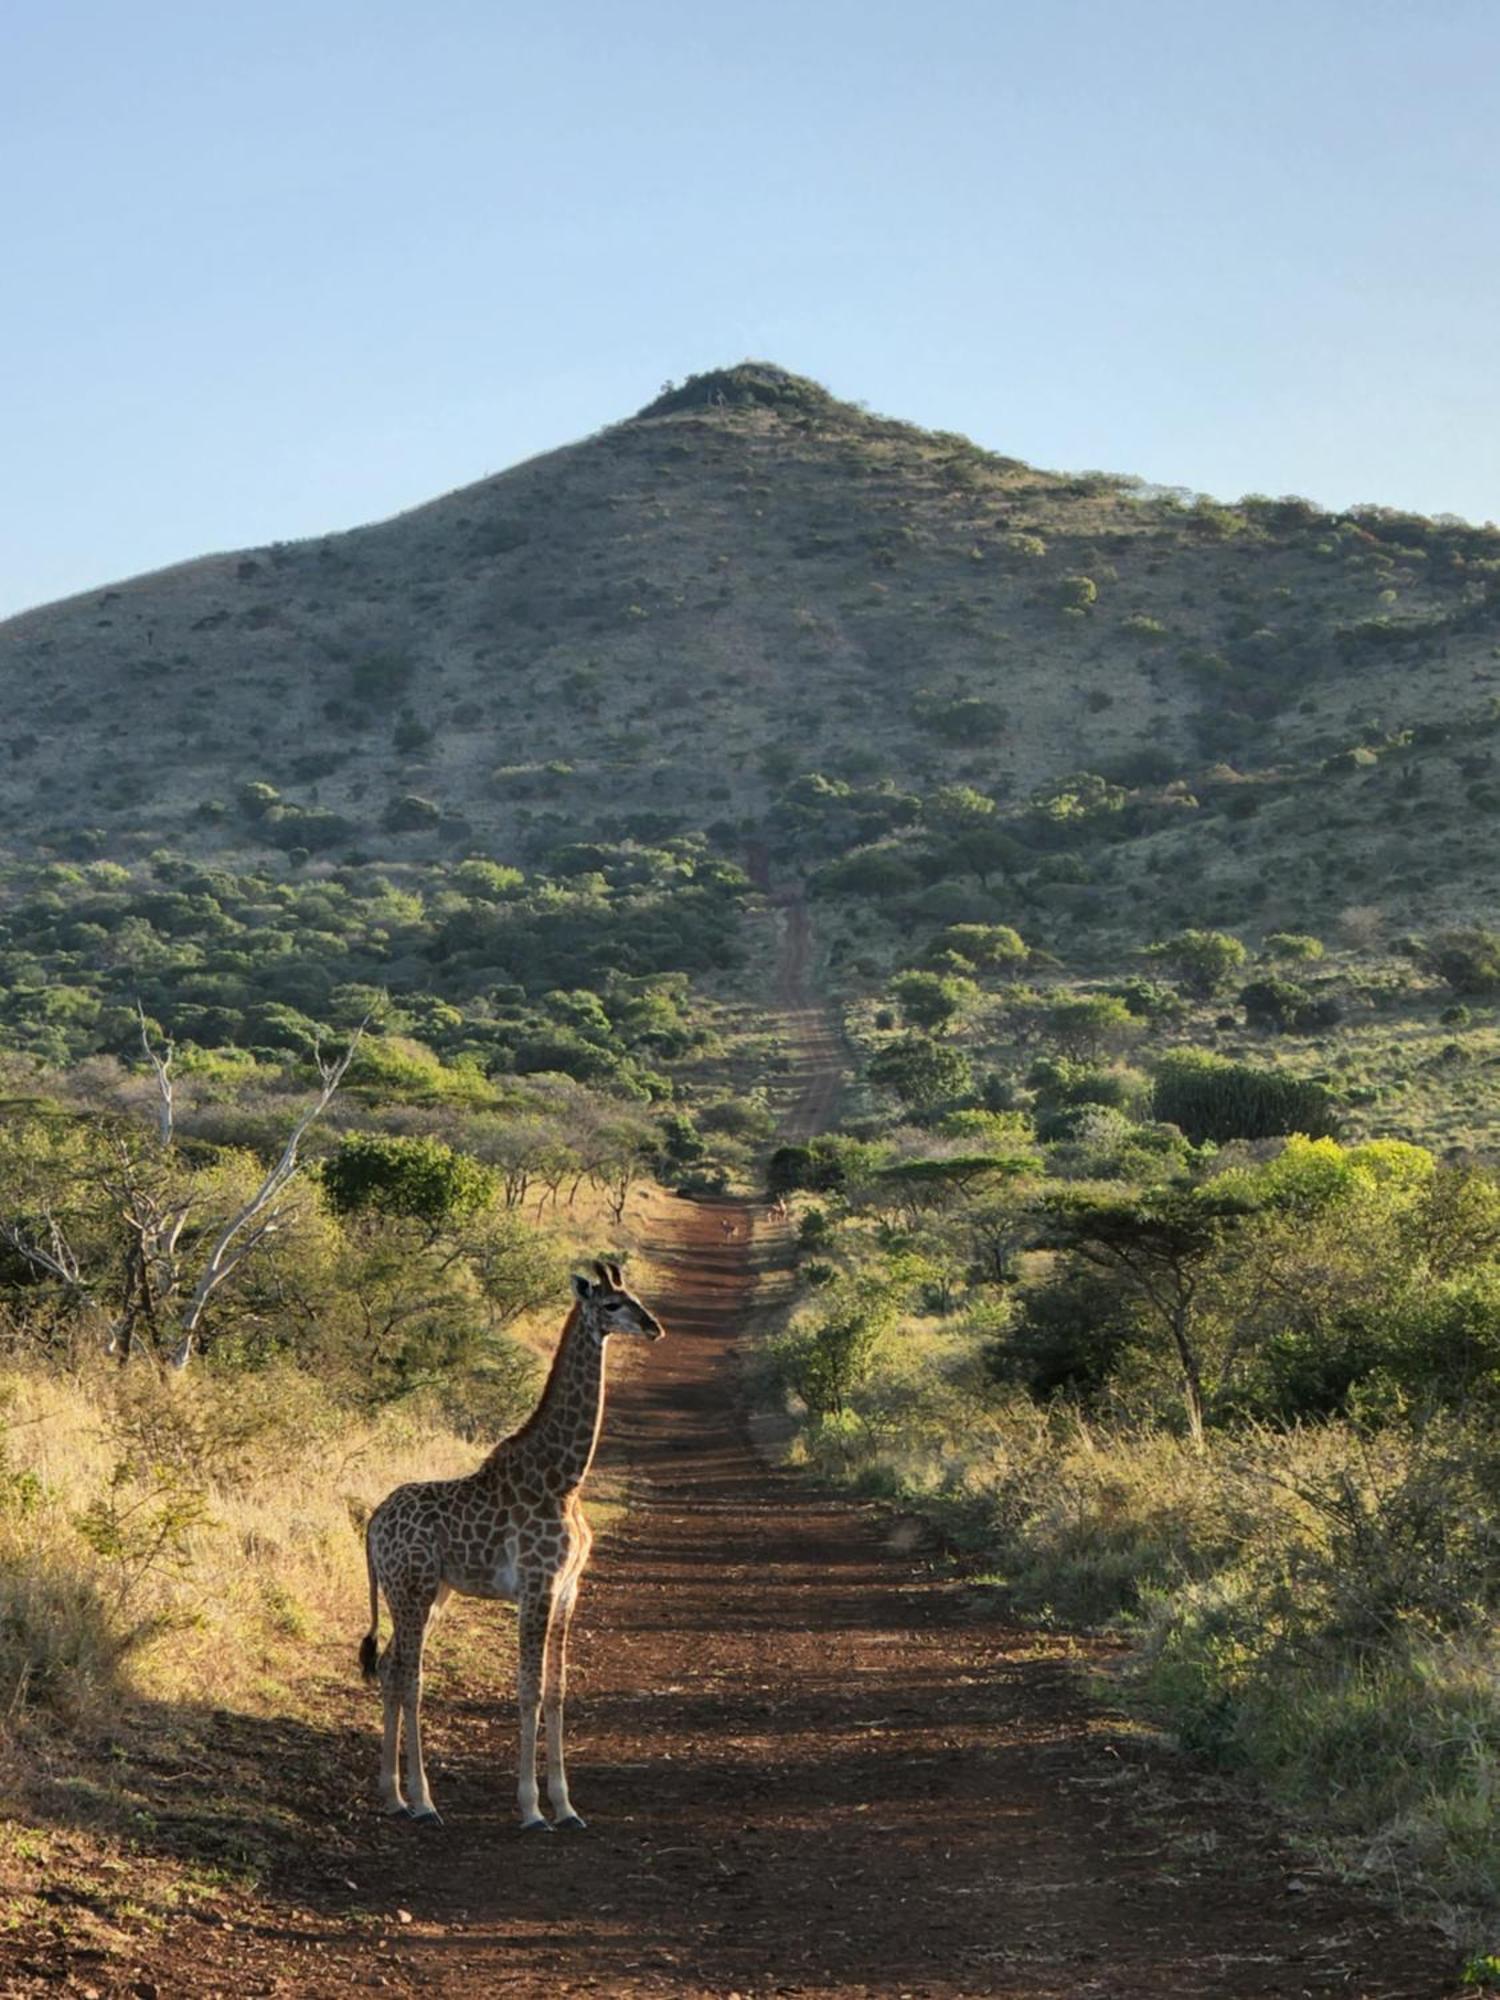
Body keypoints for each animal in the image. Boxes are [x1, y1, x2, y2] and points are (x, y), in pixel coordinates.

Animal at [358, 1256, 664, 1832]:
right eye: (613, 1304)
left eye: (636, 1297)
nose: (654, 1327)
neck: (565, 1479)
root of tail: (372, 1523)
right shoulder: (537, 1587)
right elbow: (528, 1689)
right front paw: (530, 1808)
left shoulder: (567, 1591)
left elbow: (558, 1691)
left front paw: (566, 1806)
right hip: (411, 1588)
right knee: (409, 1674)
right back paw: (423, 1801)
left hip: (432, 1593)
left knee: (388, 1668)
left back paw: (393, 1797)